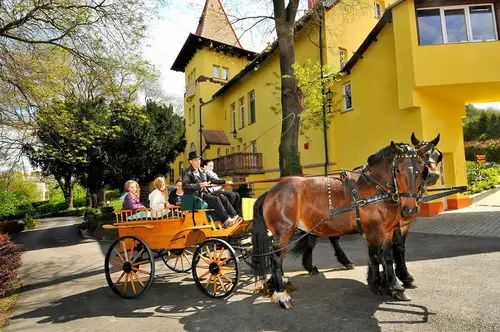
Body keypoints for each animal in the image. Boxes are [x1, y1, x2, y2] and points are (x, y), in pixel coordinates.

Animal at [252, 141, 432, 308]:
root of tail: (270, 191)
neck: (375, 186)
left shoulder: (387, 230)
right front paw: (378, 284)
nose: (410, 209)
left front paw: (393, 287)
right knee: (276, 257)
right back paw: (282, 294)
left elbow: (387, 257)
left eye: (421, 170)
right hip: (284, 232)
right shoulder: (375, 230)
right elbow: (376, 256)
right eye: (398, 170)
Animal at [292, 132, 442, 290]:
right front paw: (392, 279)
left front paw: (398, 277)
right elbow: (392, 248)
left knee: (315, 238)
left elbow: (397, 247)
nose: (433, 175)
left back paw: (314, 265)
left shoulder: (402, 224)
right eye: (424, 156)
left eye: (437, 155)